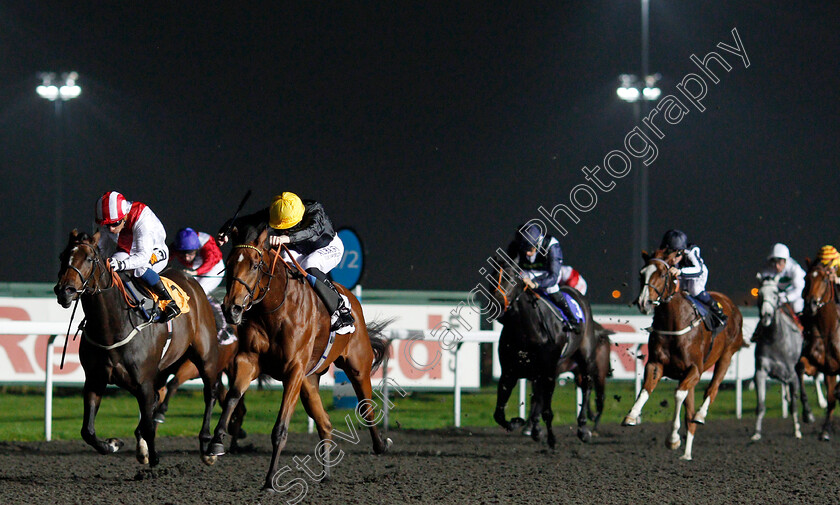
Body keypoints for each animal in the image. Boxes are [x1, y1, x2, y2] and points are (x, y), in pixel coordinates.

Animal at [52, 228, 220, 464]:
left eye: (89, 259)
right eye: (61, 256)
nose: (64, 291)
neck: (112, 328)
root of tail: (191, 280)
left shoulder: (143, 383)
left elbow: (149, 425)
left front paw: (154, 457)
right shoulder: (95, 379)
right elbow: (88, 431)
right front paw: (113, 444)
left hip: (206, 356)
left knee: (210, 392)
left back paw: (208, 445)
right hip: (163, 367)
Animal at [207, 218, 390, 488]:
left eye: (255, 264)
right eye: (229, 264)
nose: (232, 309)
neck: (275, 308)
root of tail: (352, 299)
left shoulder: (293, 370)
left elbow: (280, 427)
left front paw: (270, 479)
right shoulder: (248, 360)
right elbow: (232, 397)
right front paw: (215, 444)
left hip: (357, 366)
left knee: (366, 408)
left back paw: (380, 445)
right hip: (309, 381)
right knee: (325, 423)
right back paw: (326, 474)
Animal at [488, 260, 608, 444]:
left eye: (513, 279)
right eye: (493, 277)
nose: (498, 302)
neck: (527, 331)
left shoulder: (549, 372)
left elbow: (545, 409)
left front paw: (550, 438)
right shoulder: (509, 372)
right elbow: (499, 413)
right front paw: (519, 423)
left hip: (588, 360)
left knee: (588, 388)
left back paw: (584, 429)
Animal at [620, 250, 744, 458]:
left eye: (663, 274)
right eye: (641, 274)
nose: (643, 302)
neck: (673, 321)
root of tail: (730, 305)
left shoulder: (694, 369)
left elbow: (678, 395)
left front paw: (673, 439)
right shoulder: (656, 364)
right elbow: (646, 388)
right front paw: (631, 415)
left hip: (727, 355)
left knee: (712, 389)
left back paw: (701, 416)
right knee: (690, 414)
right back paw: (686, 455)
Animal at [752, 274, 804, 440]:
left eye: (775, 293)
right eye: (759, 293)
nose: (766, 315)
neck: (775, 339)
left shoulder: (792, 375)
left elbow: (794, 405)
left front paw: (797, 431)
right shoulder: (760, 372)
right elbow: (761, 405)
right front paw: (756, 433)